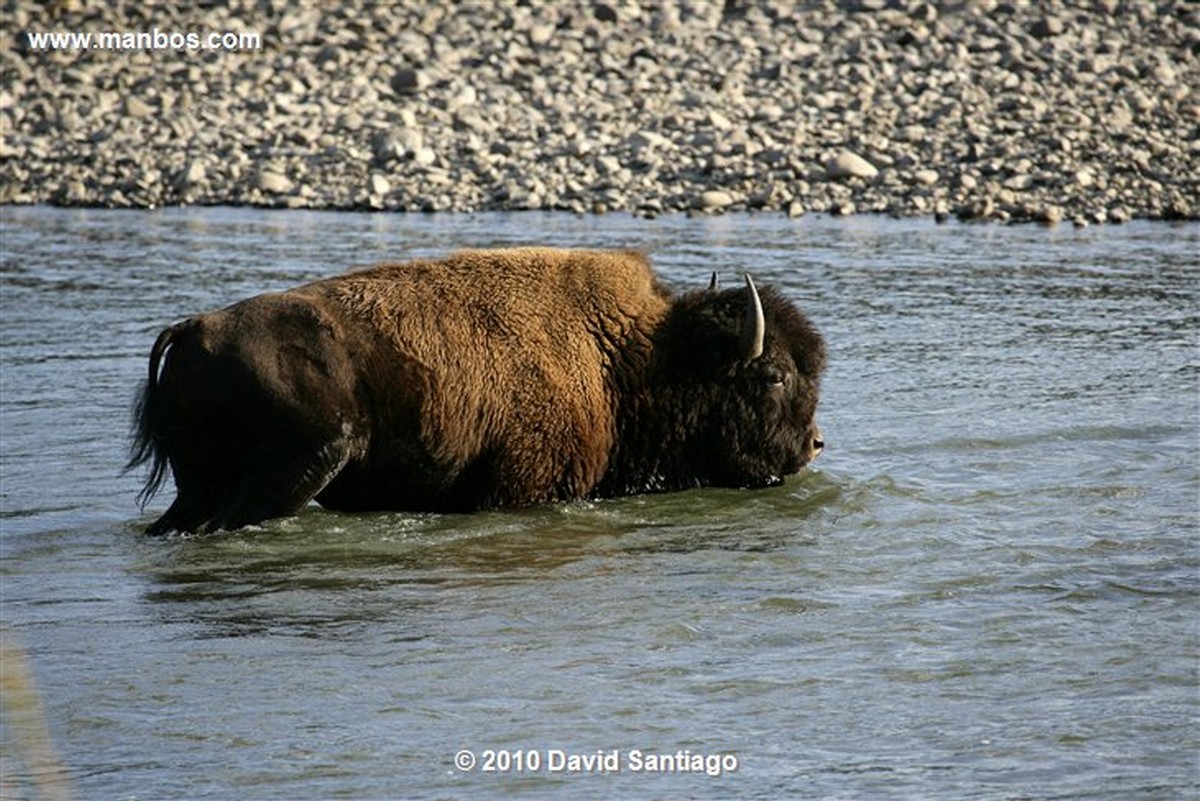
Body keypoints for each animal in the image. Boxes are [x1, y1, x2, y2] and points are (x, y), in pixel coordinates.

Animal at [131, 247, 825, 534]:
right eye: (774, 375)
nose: (814, 445)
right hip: (299, 470)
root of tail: (191, 330)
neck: (626, 356)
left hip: (198, 483)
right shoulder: (520, 485)